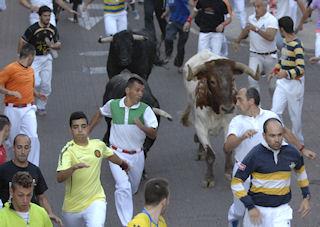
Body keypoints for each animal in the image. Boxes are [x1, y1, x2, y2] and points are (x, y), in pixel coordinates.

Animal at [180, 50, 260, 188]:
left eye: (232, 79)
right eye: (212, 81)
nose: (228, 108)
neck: (215, 109)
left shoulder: (228, 124)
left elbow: (228, 148)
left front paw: (229, 171)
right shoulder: (201, 127)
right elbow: (210, 155)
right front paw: (209, 178)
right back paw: (200, 151)